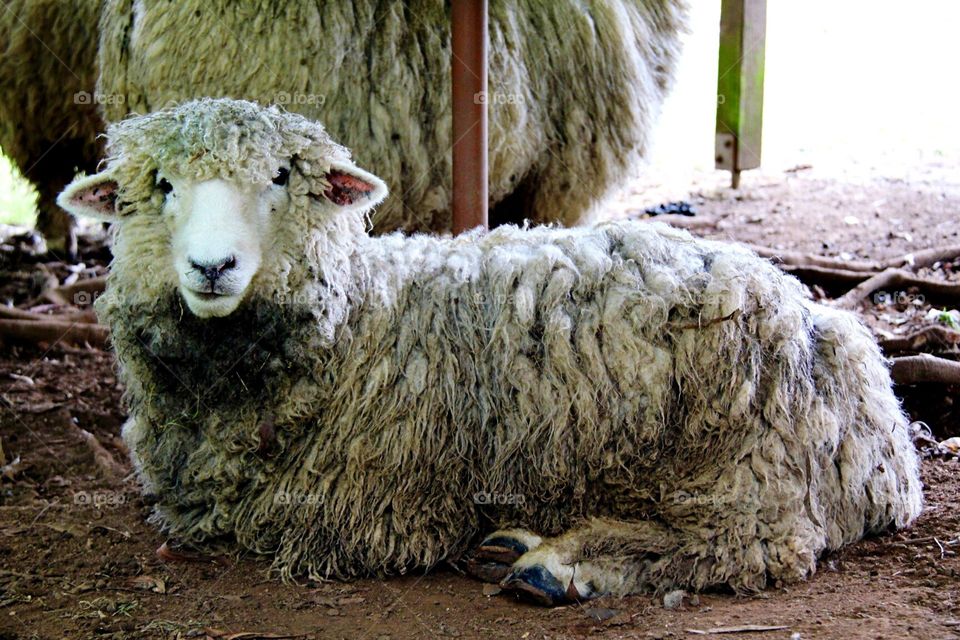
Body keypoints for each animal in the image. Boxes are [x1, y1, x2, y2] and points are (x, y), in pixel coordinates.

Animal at [58, 98, 923, 605]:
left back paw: (560, 564)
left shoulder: (363, 514)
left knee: (746, 544)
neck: (353, 319)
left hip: (742, 465)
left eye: (278, 176)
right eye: (161, 185)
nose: (213, 267)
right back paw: (520, 540)